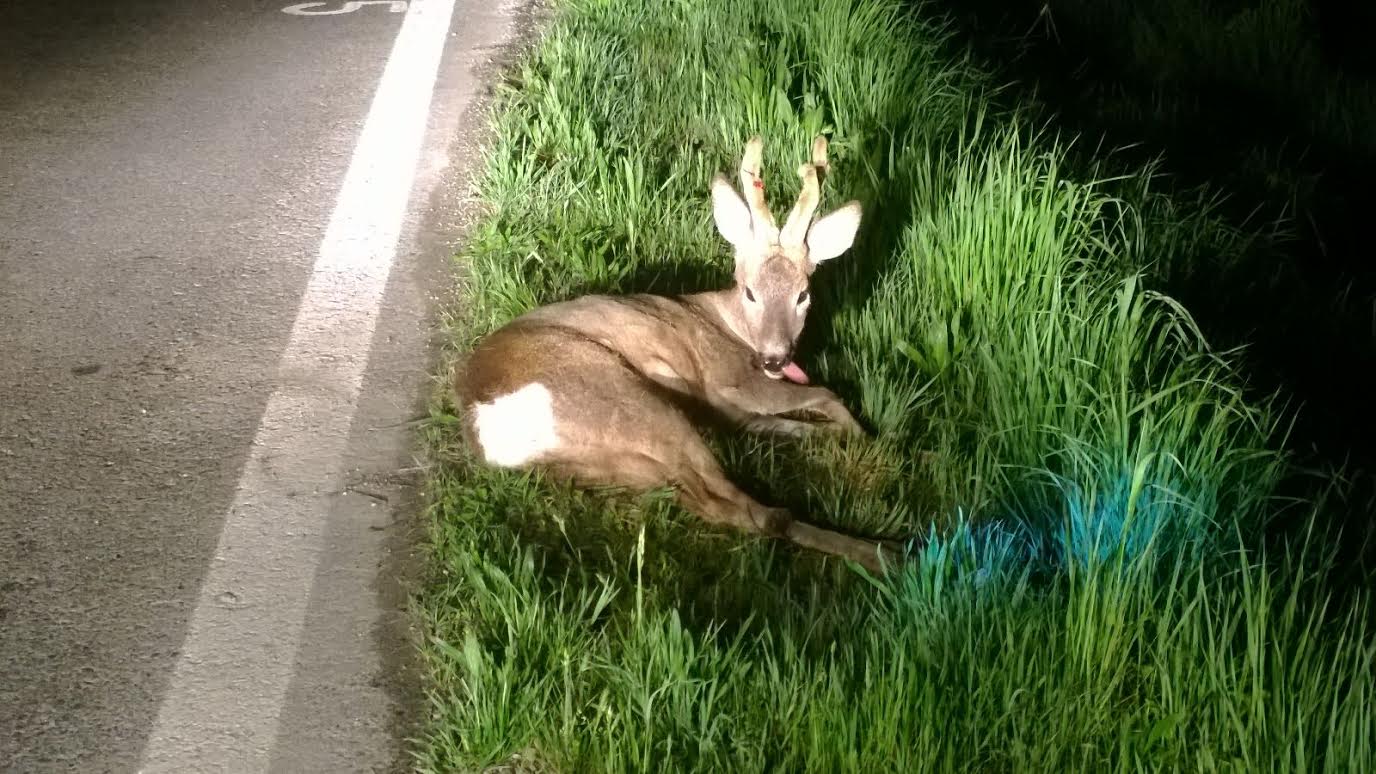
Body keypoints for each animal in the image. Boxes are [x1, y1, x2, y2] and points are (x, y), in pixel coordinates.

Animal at [456, 135, 897, 572]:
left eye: (803, 294)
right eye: (750, 292)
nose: (775, 358)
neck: (731, 324)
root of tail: (487, 424)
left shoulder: (727, 408)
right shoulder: (729, 379)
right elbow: (827, 395)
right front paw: (866, 437)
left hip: (610, 463)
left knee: (707, 501)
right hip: (626, 401)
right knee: (755, 511)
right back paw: (883, 554)